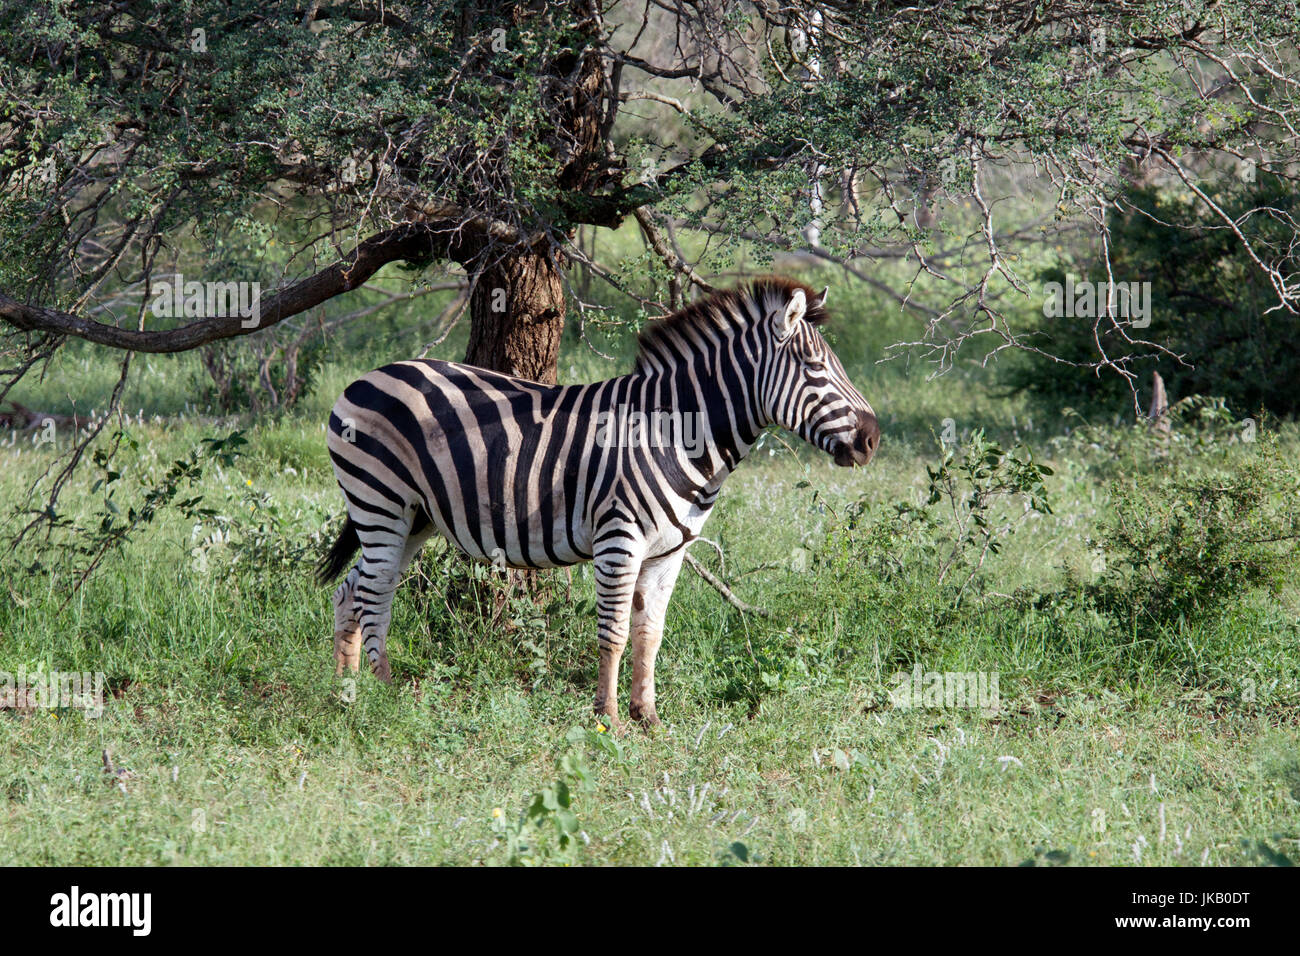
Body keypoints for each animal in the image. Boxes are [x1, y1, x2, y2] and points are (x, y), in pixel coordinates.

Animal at [318, 277, 880, 729]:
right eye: (814, 367)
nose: (873, 439)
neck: (673, 432)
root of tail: (368, 376)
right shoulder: (619, 539)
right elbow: (613, 633)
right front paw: (607, 719)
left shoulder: (668, 552)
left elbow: (649, 634)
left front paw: (648, 717)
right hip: (381, 501)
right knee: (373, 594)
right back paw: (386, 696)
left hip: (415, 517)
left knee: (354, 591)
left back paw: (348, 696)